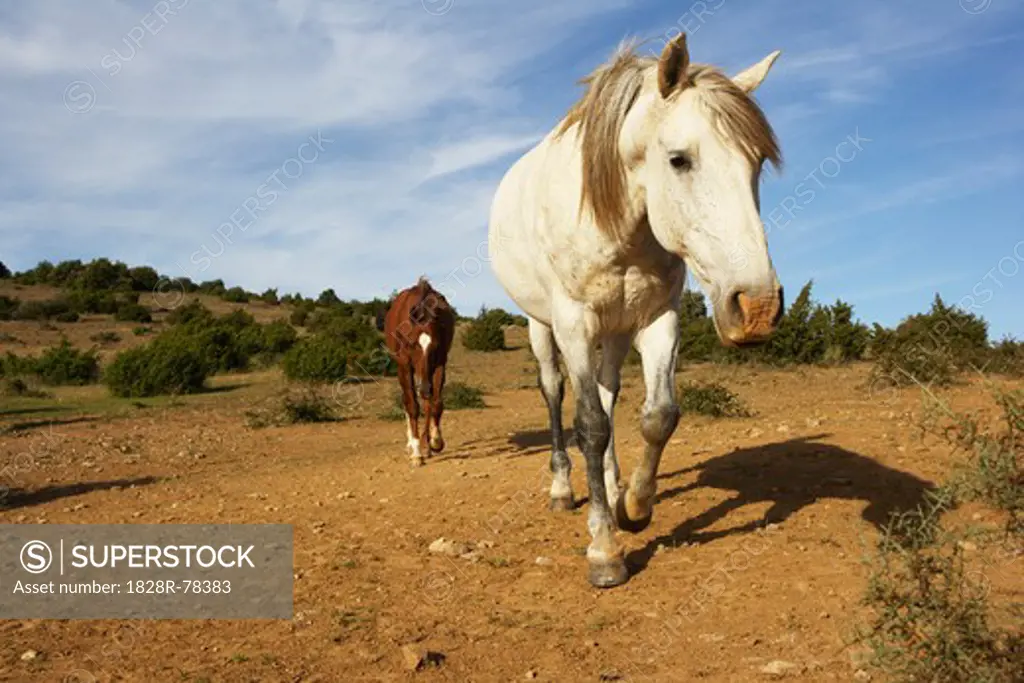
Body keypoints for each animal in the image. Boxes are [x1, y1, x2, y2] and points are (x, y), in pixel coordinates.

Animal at [385, 276, 456, 464]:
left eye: (435, 346)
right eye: (412, 344)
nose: (425, 388)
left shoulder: (439, 363)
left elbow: (436, 403)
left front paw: (435, 441)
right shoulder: (405, 365)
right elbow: (412, 406)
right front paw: (416, 452)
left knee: (427, 401)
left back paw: (427, 444)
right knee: (408, 400)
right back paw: (413, 444)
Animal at [487, 33, 782, 589]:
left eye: (756, 162)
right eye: (680, 159)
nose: (757, 308)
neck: (617, 221)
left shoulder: (657, 319)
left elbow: (658, 416)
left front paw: (634, 507)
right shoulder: (574, 324)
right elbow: (589, 425)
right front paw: (605, 550)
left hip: (617, 331)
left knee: (607, 393)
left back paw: (610, 479)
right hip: (542, 327)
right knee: (558, 397)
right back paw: (564, 489)